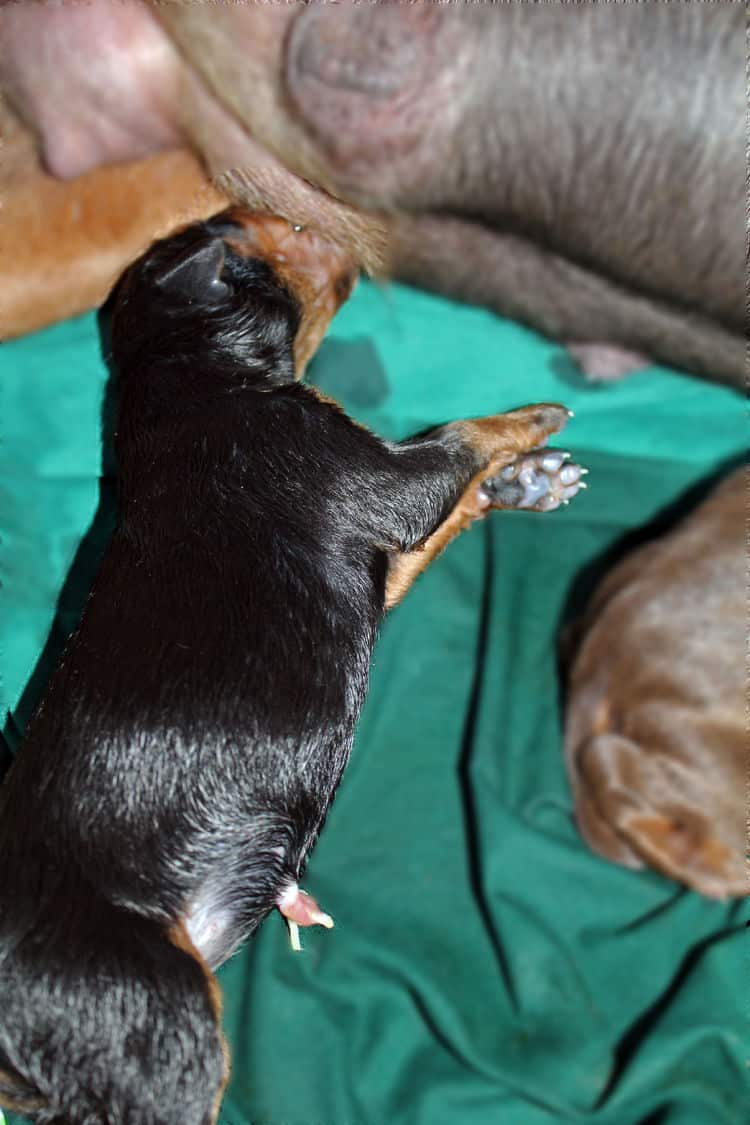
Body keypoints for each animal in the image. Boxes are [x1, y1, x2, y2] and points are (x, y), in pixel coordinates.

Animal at [0, 212, 584, 1125]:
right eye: (275, 230)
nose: (347, 214)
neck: (188, 374)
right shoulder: (369, 475)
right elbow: (457, 441)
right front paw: (534, 421)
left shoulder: (379, 548)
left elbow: (451, 504)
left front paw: (524, 482)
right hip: (157, 1017)